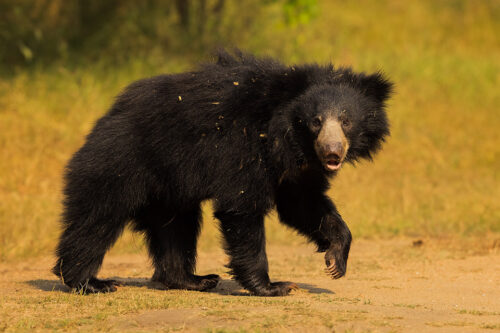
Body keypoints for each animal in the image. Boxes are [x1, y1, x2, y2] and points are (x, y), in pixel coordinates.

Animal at [52, 50, 392, 296]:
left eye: (346, 121)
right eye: (316, 121)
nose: (332, 152)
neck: (289, 140)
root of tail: (106, 117)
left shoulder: (296, 170)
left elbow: (303, 204)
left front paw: (335, 260)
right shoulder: (243, 147)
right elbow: (242, 207)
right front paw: (274, 286)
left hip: (169, 185)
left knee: (175, 225)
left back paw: (194, 279)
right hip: (120, 161)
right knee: (98, 217)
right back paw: (91, 282)